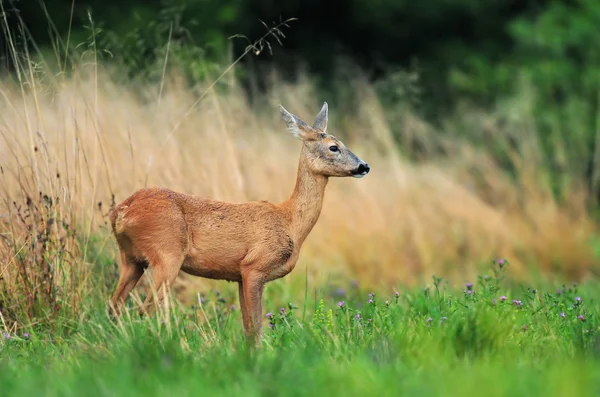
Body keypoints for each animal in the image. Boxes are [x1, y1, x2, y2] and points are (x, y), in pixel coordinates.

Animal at [109, 103, 370, 344]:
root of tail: (122, 211)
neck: (289, 222)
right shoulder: (254, 266)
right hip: (167, 253)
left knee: (114, 307)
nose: (364, 166)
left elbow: (247, 328)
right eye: (334, 146)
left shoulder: (238, 275)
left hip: (131, 259)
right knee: (144, 310)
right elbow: (255, 328)